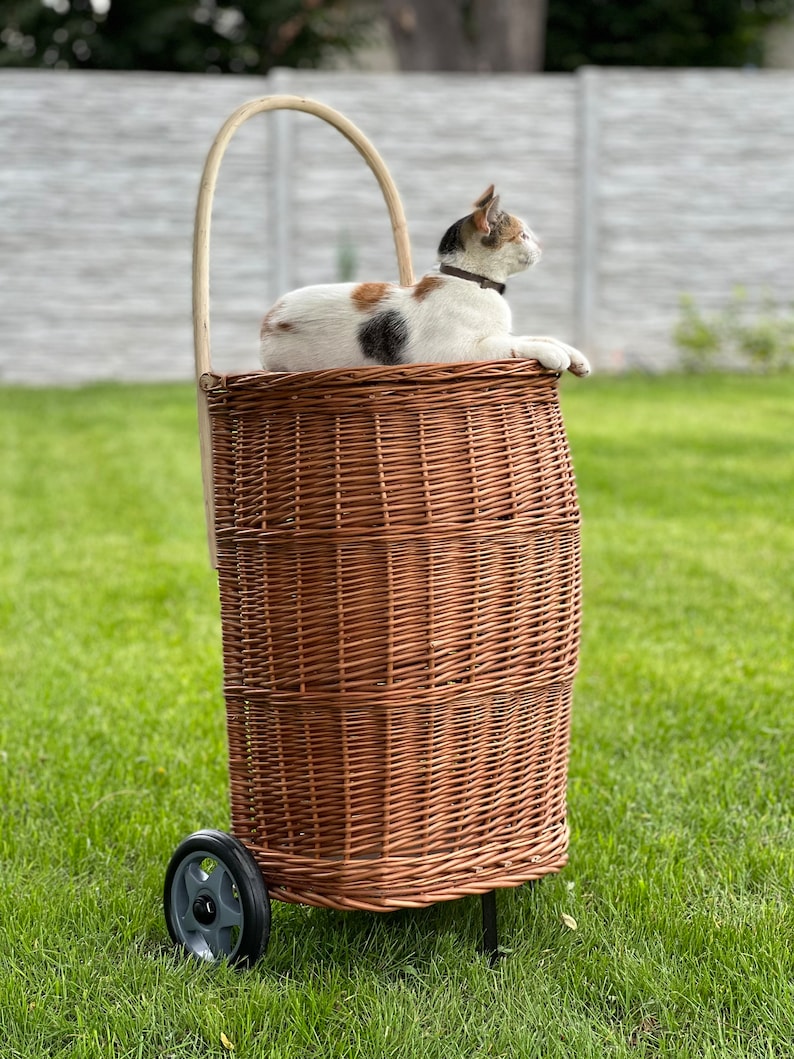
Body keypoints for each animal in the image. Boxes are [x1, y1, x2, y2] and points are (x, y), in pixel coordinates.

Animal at [261, 186, 592, 377]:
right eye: (523, 235)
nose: (542, 246)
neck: (471, 281)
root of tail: (270, 317)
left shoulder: (495, 333)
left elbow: (538, 337)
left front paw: (575, 357)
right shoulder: (454, 352)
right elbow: (510, 345)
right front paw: (553, 356)